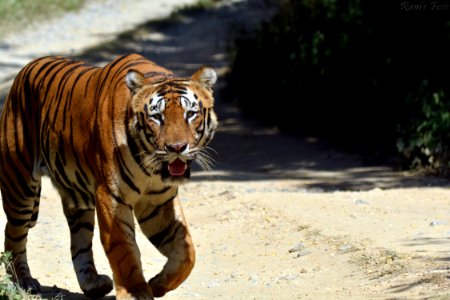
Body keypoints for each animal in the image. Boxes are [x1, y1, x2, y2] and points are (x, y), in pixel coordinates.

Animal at [0, 52, 218, 298]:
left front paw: (158, 284)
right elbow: (124, 250)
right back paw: (23, 281)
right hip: (21, 187)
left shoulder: (158, 201)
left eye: (190, 114)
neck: (151, 169)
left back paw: (92, 283)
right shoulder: (111, 197)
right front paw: (135, 292)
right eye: (157, 117)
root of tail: (25, 69)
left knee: (80, 241)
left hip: (77, 197)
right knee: (13, 234)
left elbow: (186, 253)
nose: (177, 148)